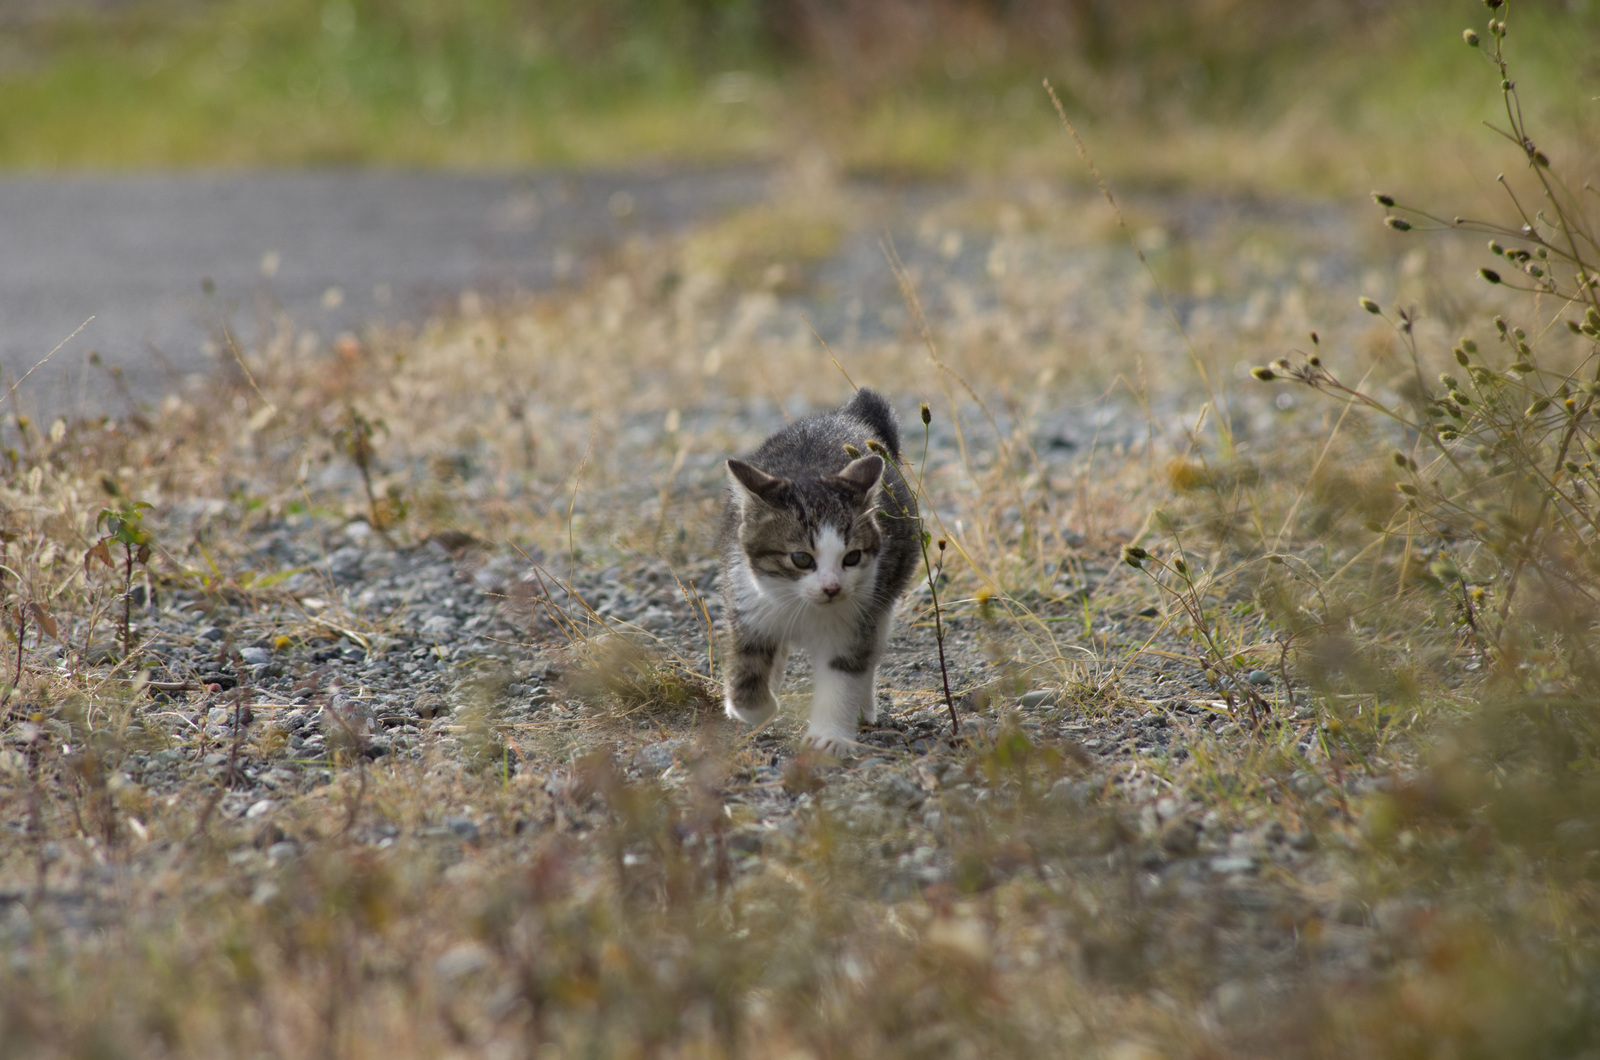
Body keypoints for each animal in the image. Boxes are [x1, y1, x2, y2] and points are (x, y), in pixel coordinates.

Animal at [720, 390, 921, 755]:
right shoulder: (746, 601)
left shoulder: (857, 616)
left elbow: (845, 670)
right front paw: (755, 707)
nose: (832, 587)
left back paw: (863, 707)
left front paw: (829, 736)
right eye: (801, 558)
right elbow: (748, 662)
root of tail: (848, 414)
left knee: (871, 652)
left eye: (852, 557)